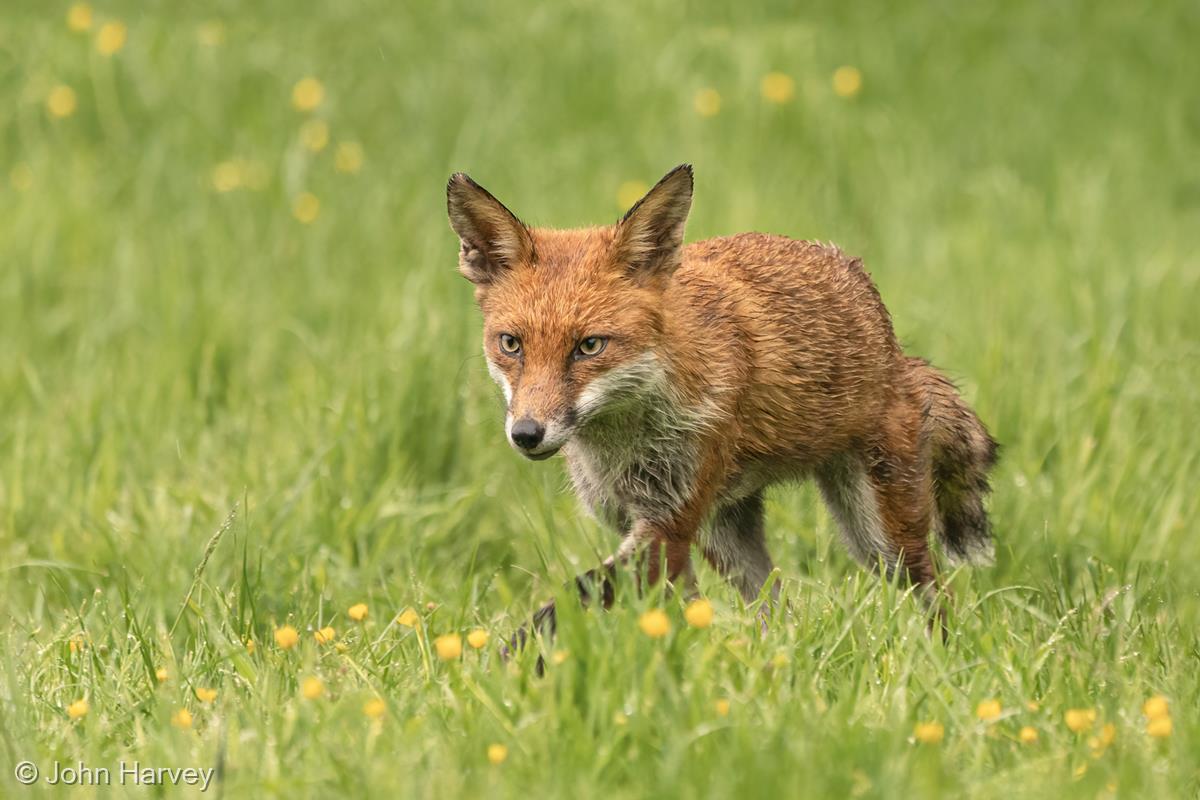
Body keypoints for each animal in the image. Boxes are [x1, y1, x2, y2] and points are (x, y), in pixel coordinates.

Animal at [446, 163, 998, 642]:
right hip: (726, 535)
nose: (527, 434)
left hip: (880, 539)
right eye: (511, 344)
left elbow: (565, 602)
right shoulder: (650, 528)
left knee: (934, 593)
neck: (623, 443)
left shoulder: (667, 524)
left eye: (589, 346)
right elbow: (672, 615)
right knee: (778, 608)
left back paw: (944, 658)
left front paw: (506, 664)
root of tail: (895, 352)